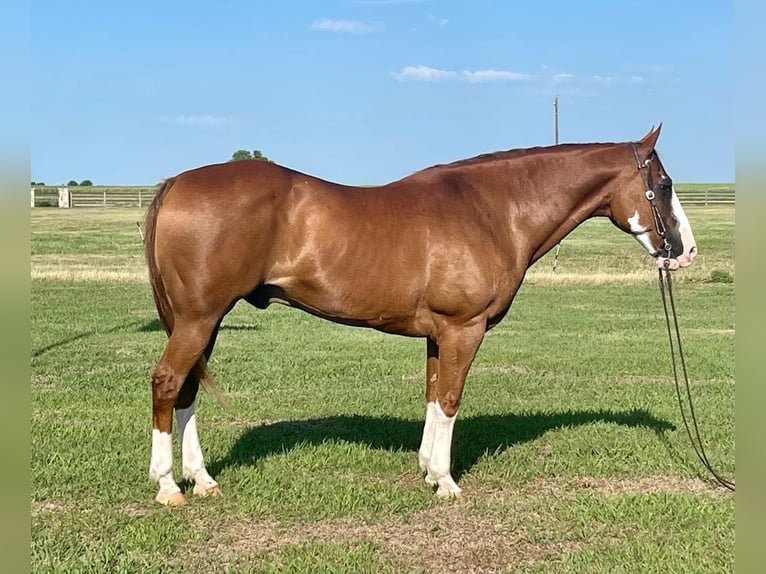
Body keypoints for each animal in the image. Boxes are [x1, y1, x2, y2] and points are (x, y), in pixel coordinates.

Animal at [146, 125, 704, 504]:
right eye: (666, 184)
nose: (687, 252)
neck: (492, 211)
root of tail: (175, 183)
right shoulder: (464, 329)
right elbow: (451, 400)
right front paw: (448, 483)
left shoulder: (438, 335)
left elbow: (434, 397)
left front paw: (429, 472)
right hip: (199, 319)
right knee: (168, 382)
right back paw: (168, 486)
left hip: (205, 323)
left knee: (187, 390)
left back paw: (202, 480)